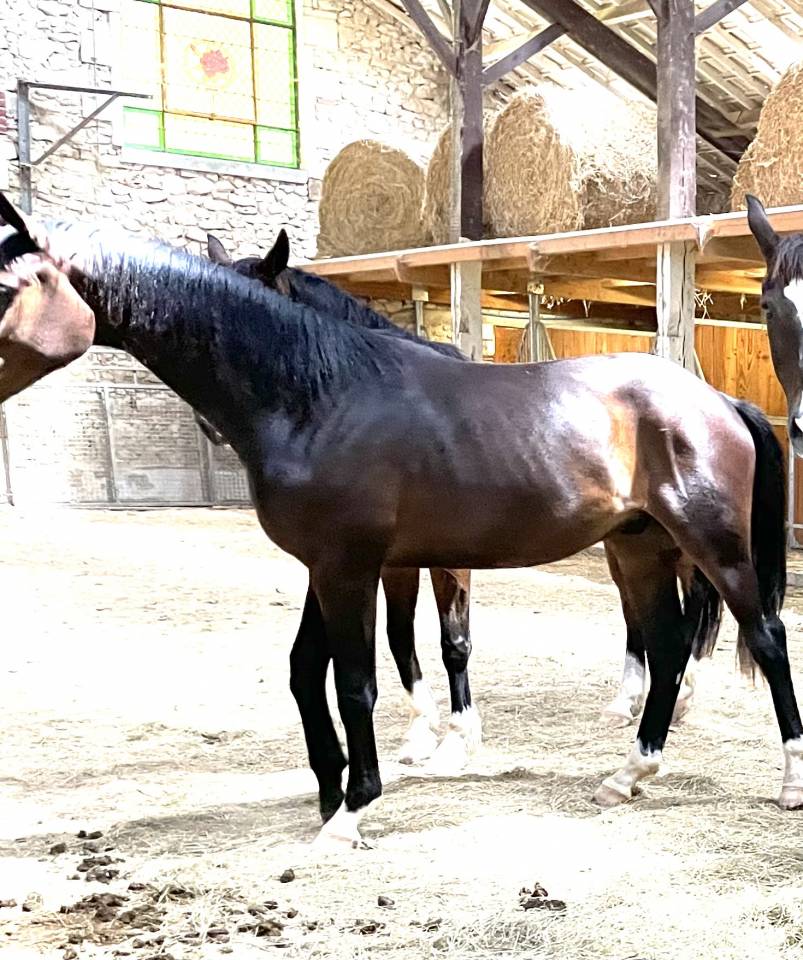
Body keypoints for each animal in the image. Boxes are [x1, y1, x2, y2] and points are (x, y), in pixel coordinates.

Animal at [207, 229, 698, 728]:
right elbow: (399, 634)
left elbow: (452, 640)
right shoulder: (390, 560)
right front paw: (425, 726)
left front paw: (457, 728)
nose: (211, 428)